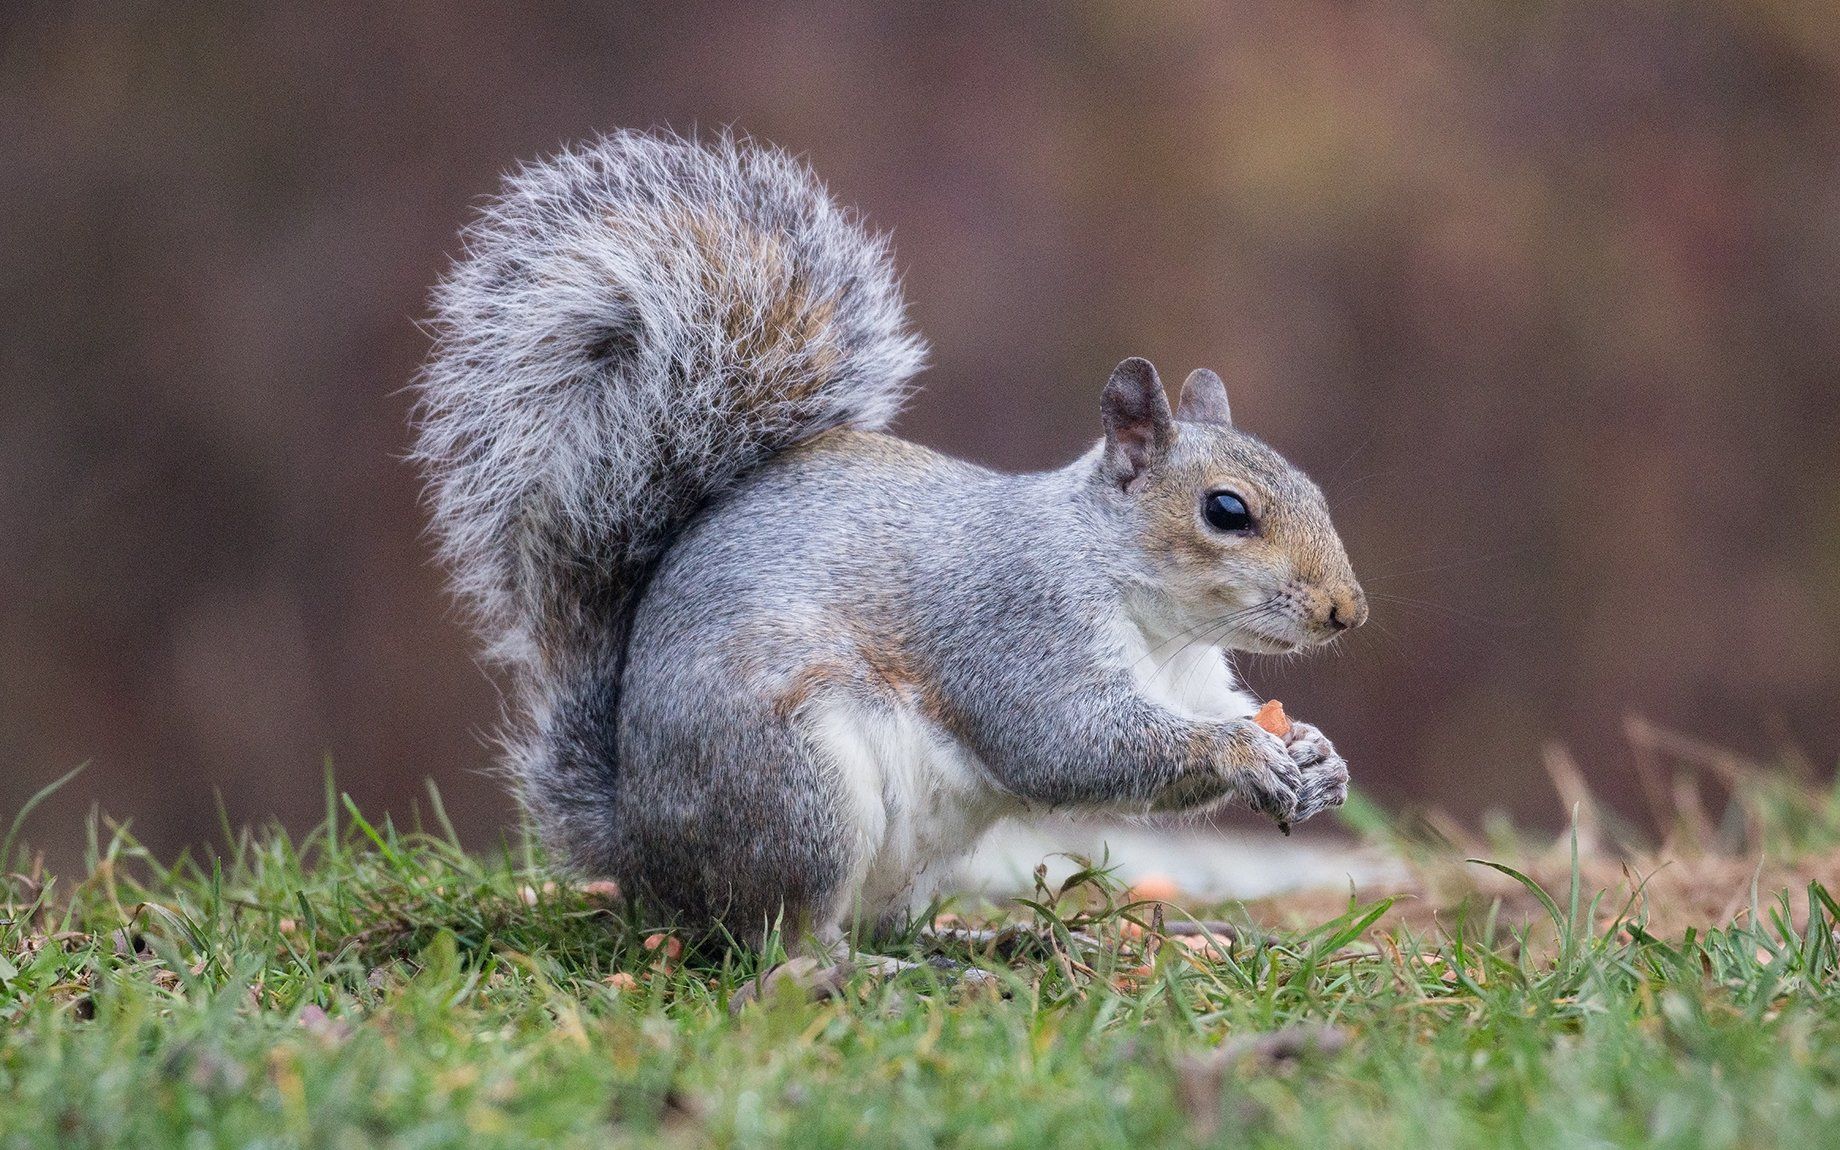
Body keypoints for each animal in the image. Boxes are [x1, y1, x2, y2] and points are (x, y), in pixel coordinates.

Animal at [413, 130, 1366, 948]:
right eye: (1227, 511)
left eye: (1315, 490)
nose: (1346, 612)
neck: (1155, 617)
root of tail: (641, 849)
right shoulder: (1020, 625)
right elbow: (1070, 742)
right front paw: (1240, 752)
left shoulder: (1193, 678)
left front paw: (1317, 757)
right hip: (798, 796)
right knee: (776, 939)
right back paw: (862, 965)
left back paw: (976, 943)